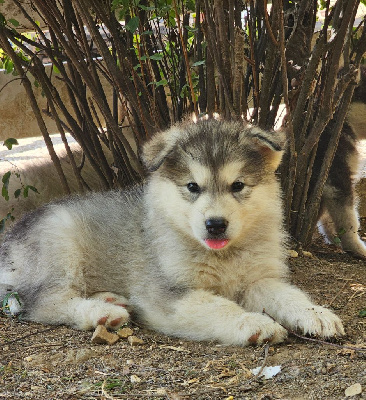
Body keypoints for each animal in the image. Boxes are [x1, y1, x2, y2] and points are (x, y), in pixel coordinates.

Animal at [0, 120, 344, 346]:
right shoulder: (166, 293)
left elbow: (288, 294)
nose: (215, 224)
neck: (223, 256)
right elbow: (216, 306)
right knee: (42, 302)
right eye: (192, 186)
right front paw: (253, 322)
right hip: (59, 244)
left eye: (238, 185)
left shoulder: (258, 279)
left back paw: (110, 299)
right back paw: (102, 311)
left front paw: (316, 314)